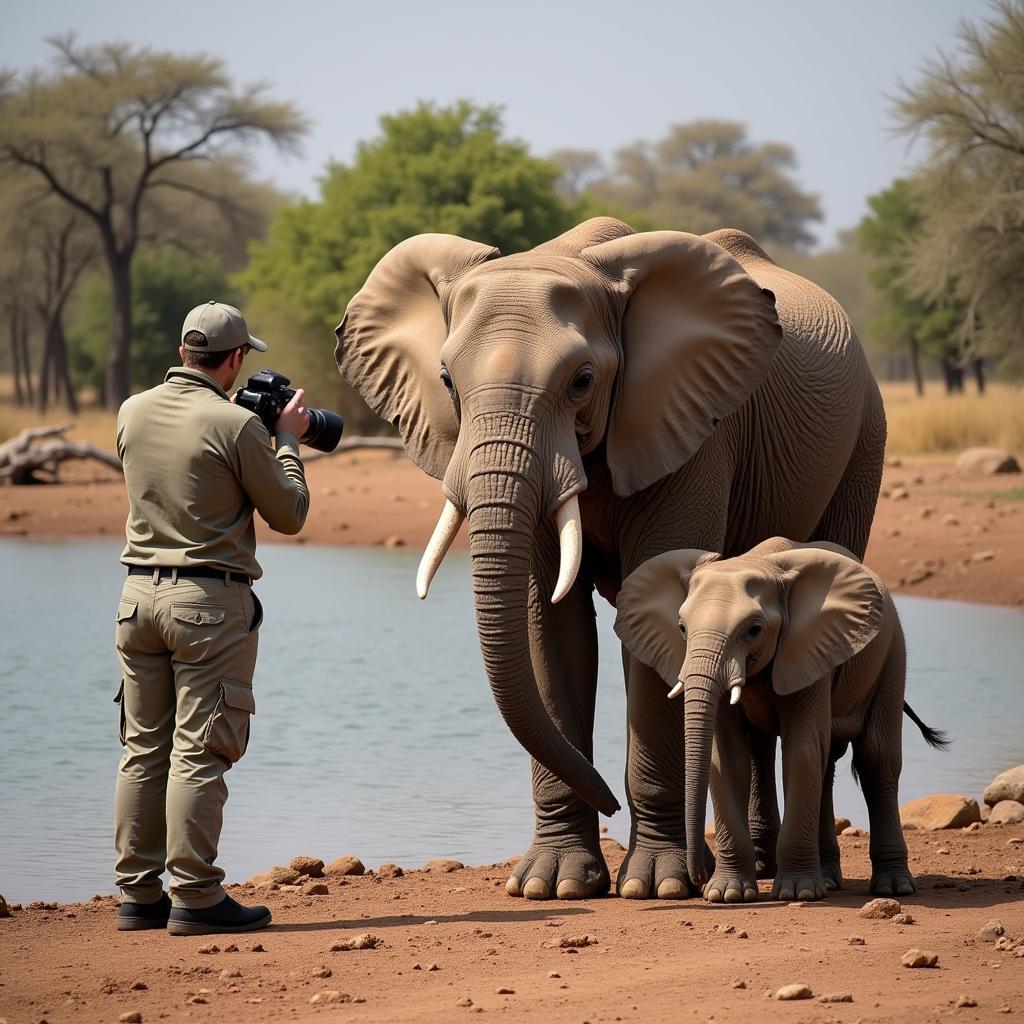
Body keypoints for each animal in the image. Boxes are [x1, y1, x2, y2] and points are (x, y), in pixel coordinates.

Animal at [337, 214, 888, 897]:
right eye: (445, 381)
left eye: (581, 381)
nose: (608, 801)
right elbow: (548, 622)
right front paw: (553, 885)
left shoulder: (694, 428)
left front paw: (657, 885)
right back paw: (759, 866)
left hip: (865, 437)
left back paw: (811, 876)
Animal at [610, 536, 946, 905]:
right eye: (682, 628)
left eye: (754, 629)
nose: (697, 879)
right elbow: (727, 756)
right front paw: (727, 894)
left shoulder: (810, 646)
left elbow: (802, 751)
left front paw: (799, 891)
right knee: (822, 763)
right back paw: (829, 879)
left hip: (891, 655)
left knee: (876, 759)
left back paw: (892, 886)